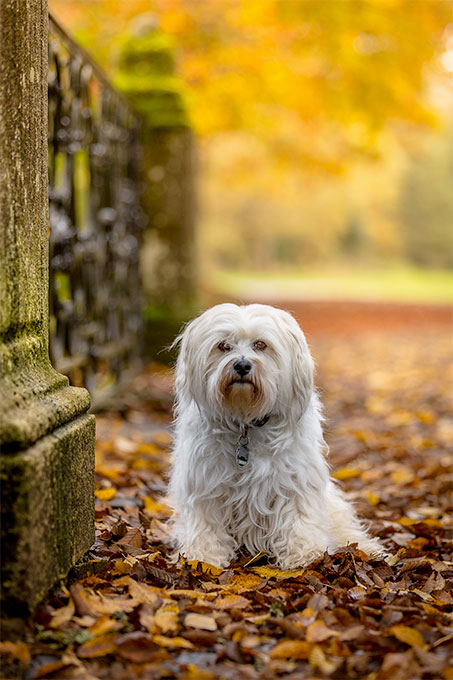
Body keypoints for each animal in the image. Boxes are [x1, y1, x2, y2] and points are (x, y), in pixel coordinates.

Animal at [168, 304, 380, 568]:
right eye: (223, 346)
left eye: (260, 345)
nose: (242, 366)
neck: (246, 423)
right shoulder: (205, 483)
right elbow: (206, 522)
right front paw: (204, 556)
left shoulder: (294, 481)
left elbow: (298, 518)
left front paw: (305, 555)